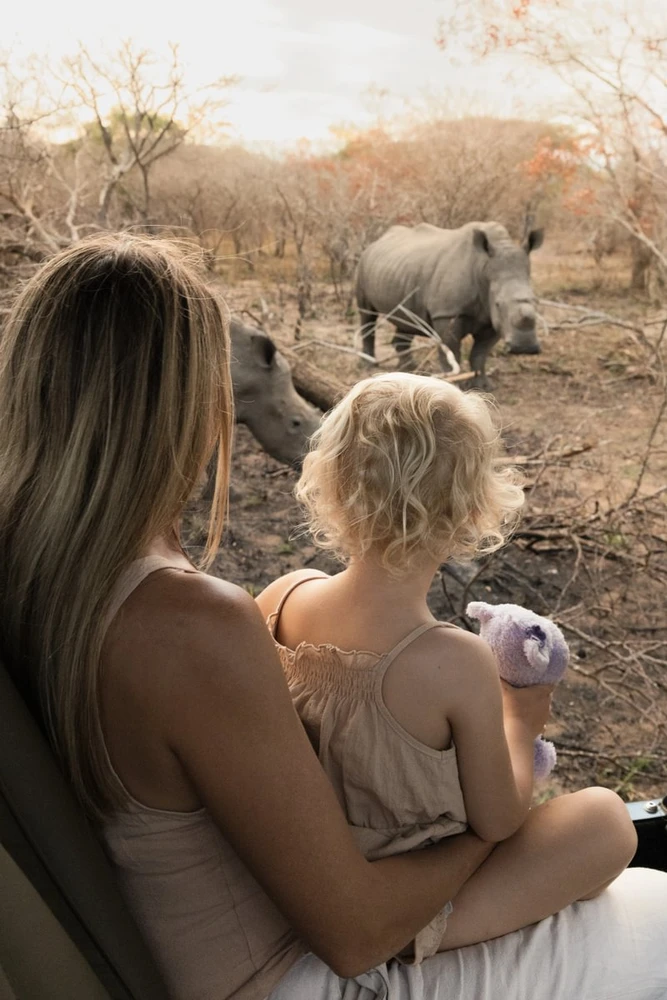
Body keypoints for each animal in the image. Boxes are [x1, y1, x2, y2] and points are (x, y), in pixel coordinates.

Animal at [356, 222, 544, 381]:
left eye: (536, 301)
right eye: (498, 304)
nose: (525, 348)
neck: (484, 268)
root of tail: (375, 242)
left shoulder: (491, 319)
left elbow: (480, 353)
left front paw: (483, 385)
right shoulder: (447, 314)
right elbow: (451, 351)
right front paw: (453, 383)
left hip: (400, 272)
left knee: (406, 321)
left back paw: (409, 370)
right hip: (363, 263)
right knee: (367, 314)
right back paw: (369, 365)